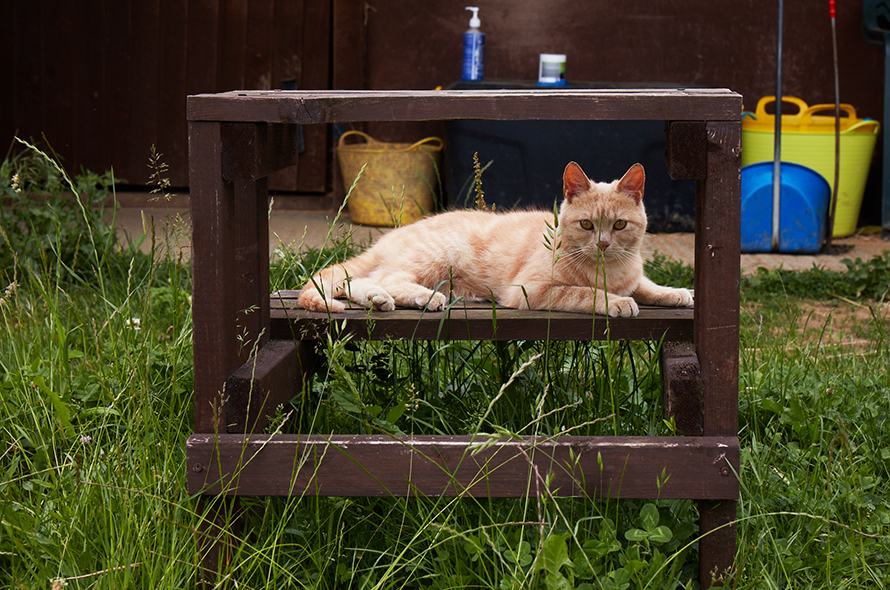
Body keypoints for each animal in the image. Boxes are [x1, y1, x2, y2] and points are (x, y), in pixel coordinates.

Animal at [298, 162, 692, 320]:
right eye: (586, 224)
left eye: (620, 224)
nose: (604, 244)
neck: (610, 270)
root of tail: (390, 237)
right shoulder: (531, 290)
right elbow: (584, 293)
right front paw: (617, 302)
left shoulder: (633, 275)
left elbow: (645, 284)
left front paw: (675, 292)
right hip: (438, 257)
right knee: (387, 279)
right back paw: (424, 298)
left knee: (359, 282)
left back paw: (378, 301)